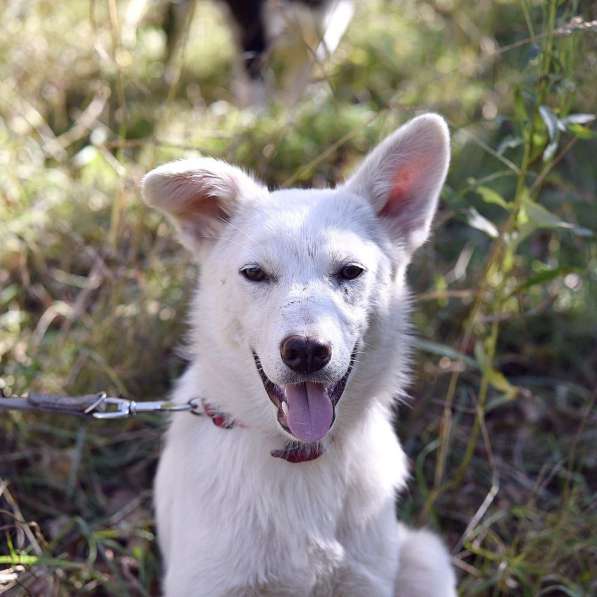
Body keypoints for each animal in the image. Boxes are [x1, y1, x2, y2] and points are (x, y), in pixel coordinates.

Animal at [141, 113, 456, 596]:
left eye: (350, 271)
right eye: (254, 273)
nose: (306, 351)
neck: (297, 457)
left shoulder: (366, 580)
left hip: (425, 557)